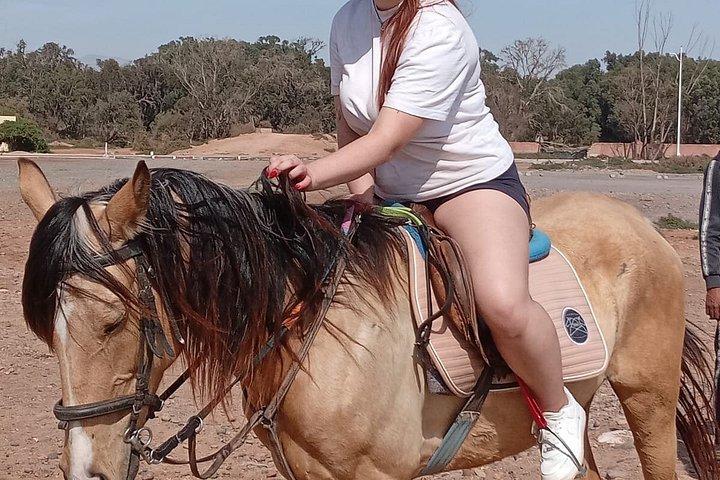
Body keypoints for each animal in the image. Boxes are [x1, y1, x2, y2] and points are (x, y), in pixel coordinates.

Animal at [17, 158, 717, 480]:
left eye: (113, 323)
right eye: (47, 333)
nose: (87, 470)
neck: (305, 328)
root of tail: (641, 227)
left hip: (647, 398)